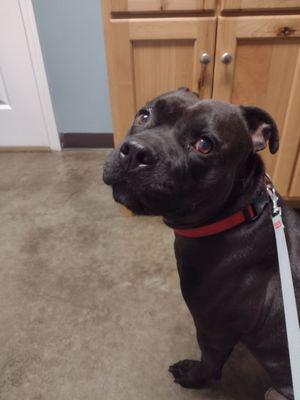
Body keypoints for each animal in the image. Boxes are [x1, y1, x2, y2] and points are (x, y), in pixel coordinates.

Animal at [102, 89, 298, 398]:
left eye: (204, 145)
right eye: (144, 115)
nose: (135, 151)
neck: (239, 215)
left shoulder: (213, 331)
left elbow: (210, 363)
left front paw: (193, 377)